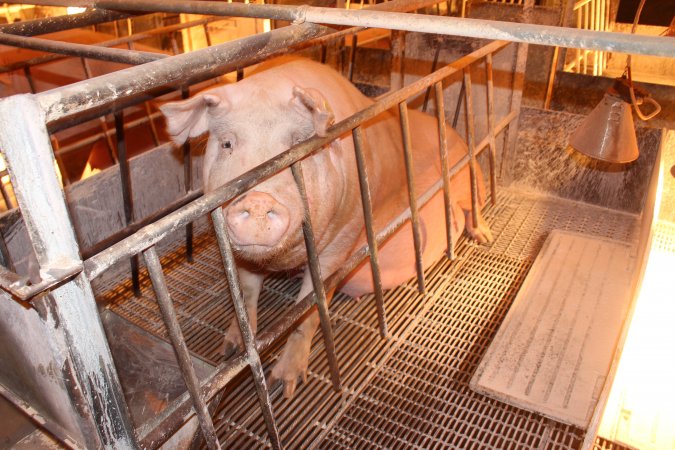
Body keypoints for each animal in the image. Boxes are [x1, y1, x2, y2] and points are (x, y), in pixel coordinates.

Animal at [161, 57, 494, 398]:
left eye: (297, 143)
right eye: (227, 143)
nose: (257, 200)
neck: (281, 260)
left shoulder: (342, 240)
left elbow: (309, 308)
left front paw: (284, 385)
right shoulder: (240, 255)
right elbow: (247, 293)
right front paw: (230, 350)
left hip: (468, 174)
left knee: (474, 204)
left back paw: (484, 237)